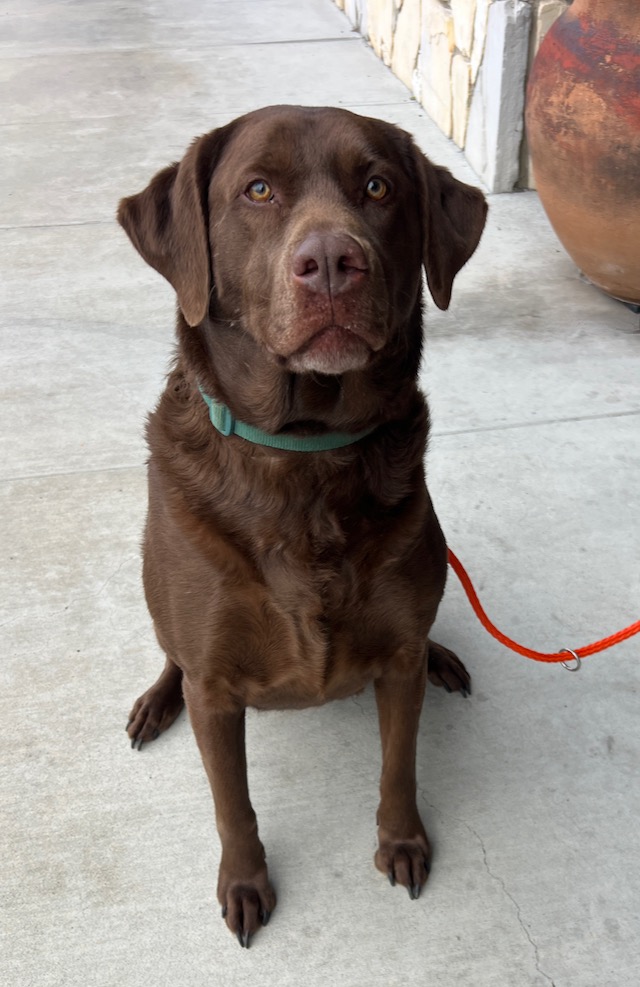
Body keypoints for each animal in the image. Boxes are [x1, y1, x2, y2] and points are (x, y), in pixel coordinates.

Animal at [118, 105, 487, 947]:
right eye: (258, 189)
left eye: (378, 186)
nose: (330, 262)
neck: (306, 456)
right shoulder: (217, 689)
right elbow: (233, 803)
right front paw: (245, 881)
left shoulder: (395, 659)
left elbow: (398, 762)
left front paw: (401, 840)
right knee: (170, 656)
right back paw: (155, 703)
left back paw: (446, 656)